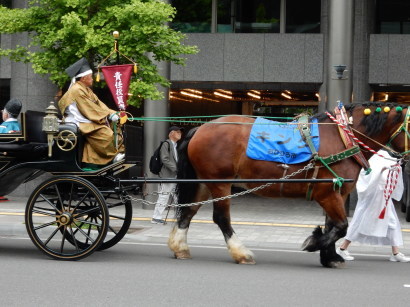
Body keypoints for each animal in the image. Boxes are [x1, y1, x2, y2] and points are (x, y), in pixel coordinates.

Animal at [167, 102, 410, 268]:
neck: (343, 137)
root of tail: (199, 129)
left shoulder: (337, 192)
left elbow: (333, 225)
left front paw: (330, 256)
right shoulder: (327, 193)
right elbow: (341, 226)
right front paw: (314, 243)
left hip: (203, 182)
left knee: (188, 211)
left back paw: (180, 247)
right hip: (220, 182)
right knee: (221, 218)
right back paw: (241, 252)